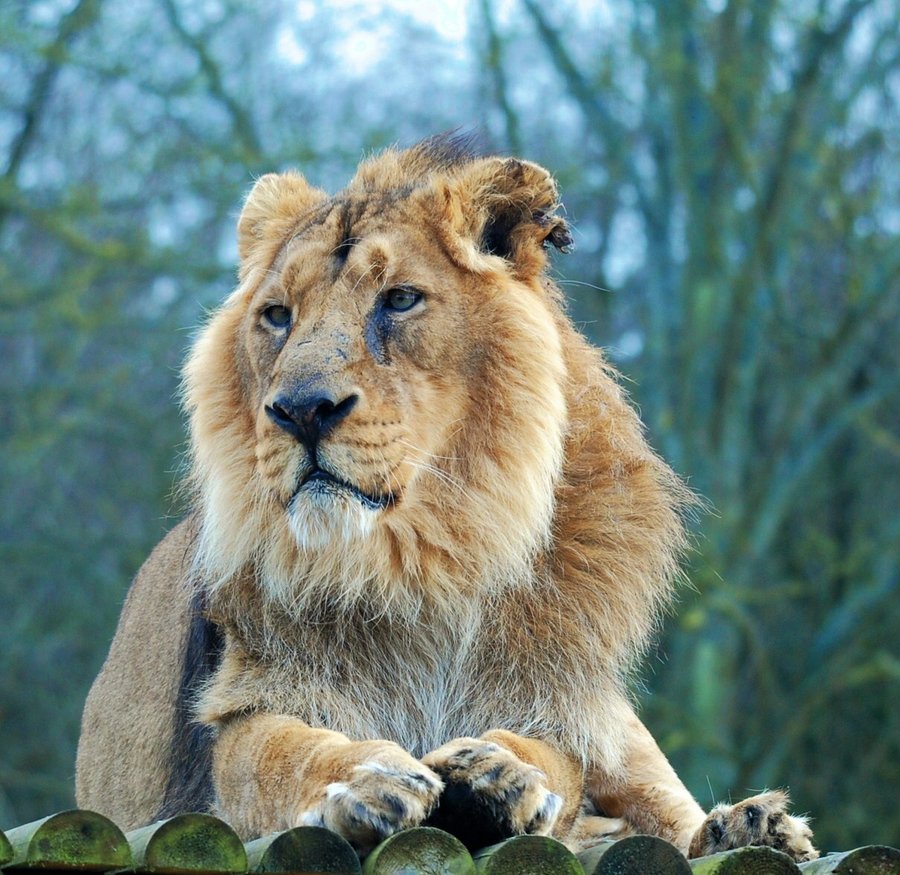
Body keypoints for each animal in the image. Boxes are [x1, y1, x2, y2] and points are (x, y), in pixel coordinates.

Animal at [75, 134, 817, 861]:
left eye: (400, 300)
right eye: (277, 317)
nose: (301, 409)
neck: (422, 560)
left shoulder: (559, 700)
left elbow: (554, 754)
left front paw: (499, 771)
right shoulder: (242, 709)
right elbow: (282, 754)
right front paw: (363, 779)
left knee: (665, 806)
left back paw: (749, 825)